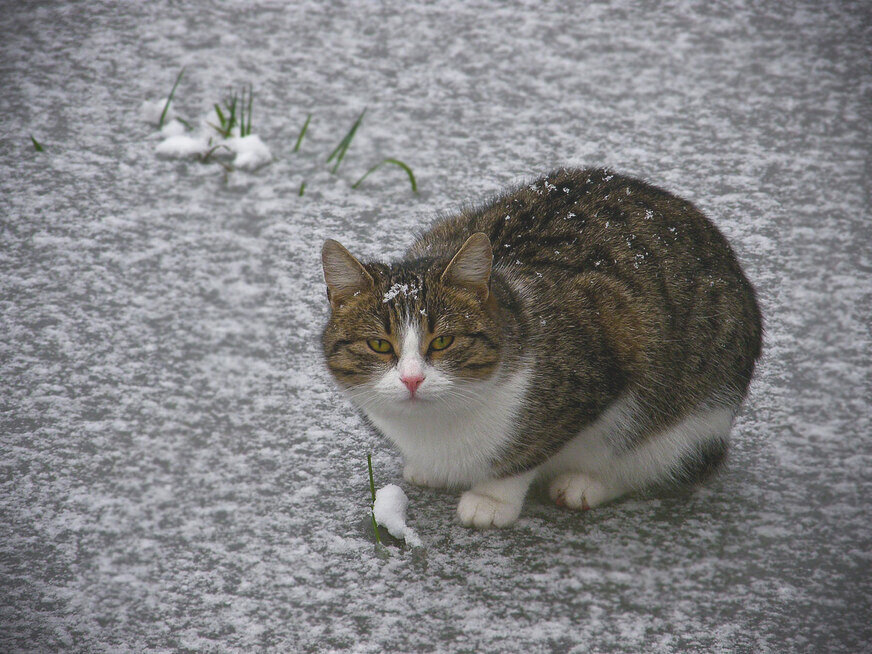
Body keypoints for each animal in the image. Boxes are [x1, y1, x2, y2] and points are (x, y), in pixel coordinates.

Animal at [322, 168, 764, 528]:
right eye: (379, 344)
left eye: (443, 340)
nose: (412, 380)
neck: (435, 426)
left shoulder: (606, 345)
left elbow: (529, 449)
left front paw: (491, 498)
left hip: (695, 414)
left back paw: (587, 483)